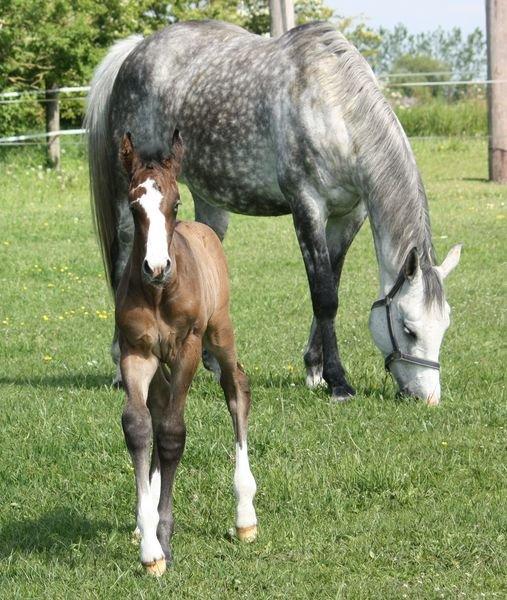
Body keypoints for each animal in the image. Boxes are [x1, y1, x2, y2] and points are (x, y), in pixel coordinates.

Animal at [85, 19, 462, 404]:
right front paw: (338, 382)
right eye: (409, 328)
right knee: (122, 266)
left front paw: (314, 370)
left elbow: (332, 285)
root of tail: (136, 49)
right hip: (131, 196)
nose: (427, 398)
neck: (334, 111)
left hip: (208, 202)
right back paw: (122, 369)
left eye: (444, 325)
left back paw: (213, 364)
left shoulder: (350, 216)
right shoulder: (307, 207)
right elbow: (324, 296)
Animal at [116, 132, 256, 576]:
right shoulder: (136, 352)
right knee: (159, 406)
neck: (160, 293)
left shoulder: (187, 349)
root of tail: (202, 229)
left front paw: (163, 535)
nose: (156, 267)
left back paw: (245, 516)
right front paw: (150, 546)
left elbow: (173, 434)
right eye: (133, 205)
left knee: (236, 388)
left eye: (175, 203)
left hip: (220, 332)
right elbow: (140, 427)